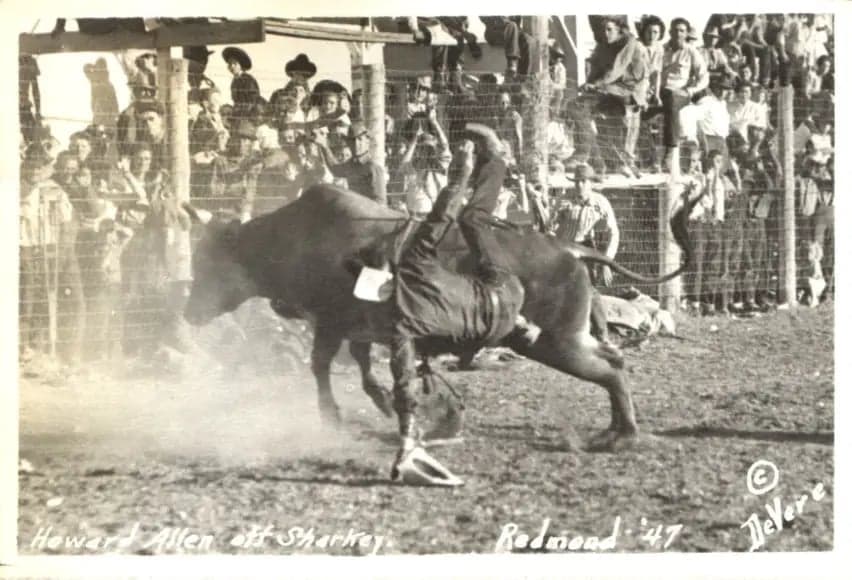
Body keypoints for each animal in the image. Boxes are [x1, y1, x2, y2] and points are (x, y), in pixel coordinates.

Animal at [183, 184, 696, 456]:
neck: (296, 240)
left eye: (207, 262)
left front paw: (333, 416)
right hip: (566, 337)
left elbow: (321, 365)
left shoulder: (330, 324)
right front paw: (388, 406)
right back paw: (615, 429)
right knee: (614, 361)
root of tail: (567, 248)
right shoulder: (361, 330)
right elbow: (364, 370)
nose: (188, 311)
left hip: (554, 341)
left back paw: (624, 435)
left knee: (611, 370)